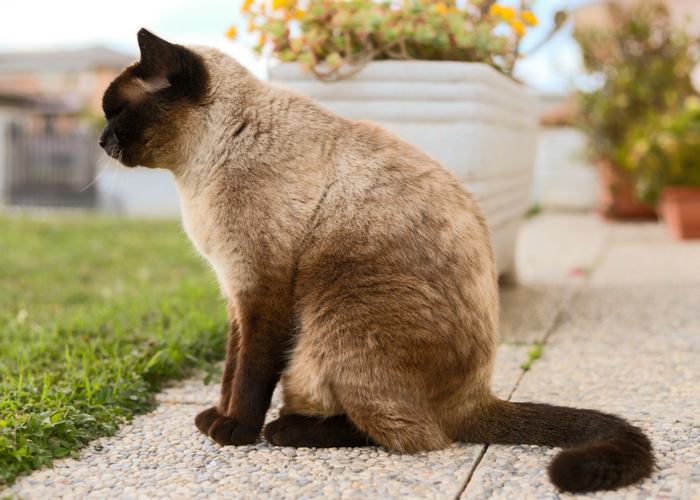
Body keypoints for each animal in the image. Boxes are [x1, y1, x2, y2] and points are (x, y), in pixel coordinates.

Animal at [101, 29, 652, 494]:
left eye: (115, 111)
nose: (102, 141)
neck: (197, 176)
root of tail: (479, 394)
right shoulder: (236, 292)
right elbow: (230, 367)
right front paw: (215, 416)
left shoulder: (261, 289)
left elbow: (250, 373)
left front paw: (234, 430)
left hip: (334, 325)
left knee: (415, 435)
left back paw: (285, 429)